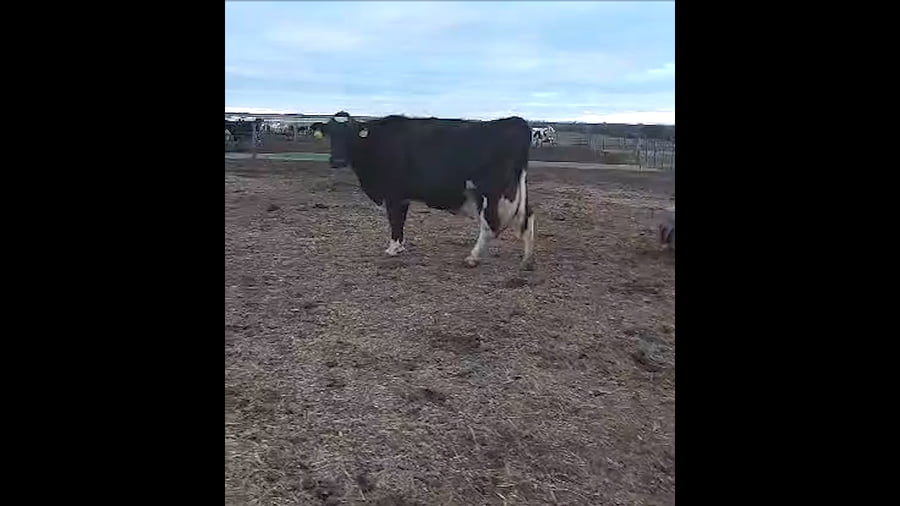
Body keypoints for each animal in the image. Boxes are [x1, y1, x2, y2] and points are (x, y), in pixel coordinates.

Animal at [322, 111, 536, 270]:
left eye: (350, 134)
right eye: (330, 133)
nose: (337, 161)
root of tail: (515, 122)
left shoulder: (393, 194)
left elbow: (395, 220)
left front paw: (392, 249)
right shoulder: (403, 196)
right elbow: (401, 220)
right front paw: (399, 247)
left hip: (490, 192)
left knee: (490, 225)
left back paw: (473, 258)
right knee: (527, 216)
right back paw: (527, 260)